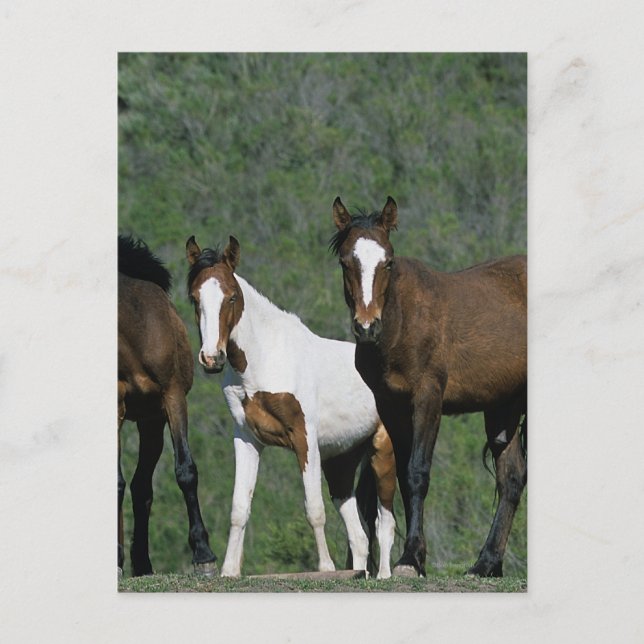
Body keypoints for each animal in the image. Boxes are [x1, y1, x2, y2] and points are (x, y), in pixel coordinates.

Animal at [118, 235, 217, 576]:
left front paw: (204, 555)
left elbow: (186, 471)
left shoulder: (173, 398)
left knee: (141, 487)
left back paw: (143, 564)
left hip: (151, 422)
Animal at [185, 235, 397, 578]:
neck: (265, 359)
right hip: (341, 463)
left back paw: (383, 576)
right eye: (194, 299)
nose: (212, 358)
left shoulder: (304, 439)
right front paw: (229, 570)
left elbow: (314, 509)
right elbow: (239, 508)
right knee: (360, 536)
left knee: (385, 522)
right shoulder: (247, 439)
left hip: (383, 451)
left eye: (232, 297)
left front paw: (325, 568)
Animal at [330, 196, 527, 578]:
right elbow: (405, 479)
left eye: (388, 261)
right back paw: (486, 563)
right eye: (346, 261)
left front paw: (408, 559)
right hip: (503, 408)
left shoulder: (428, 398)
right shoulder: (391, 407)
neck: (402, 322)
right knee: (511, 479)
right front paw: (416, 558)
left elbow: (418, 472)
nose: (367, 326)